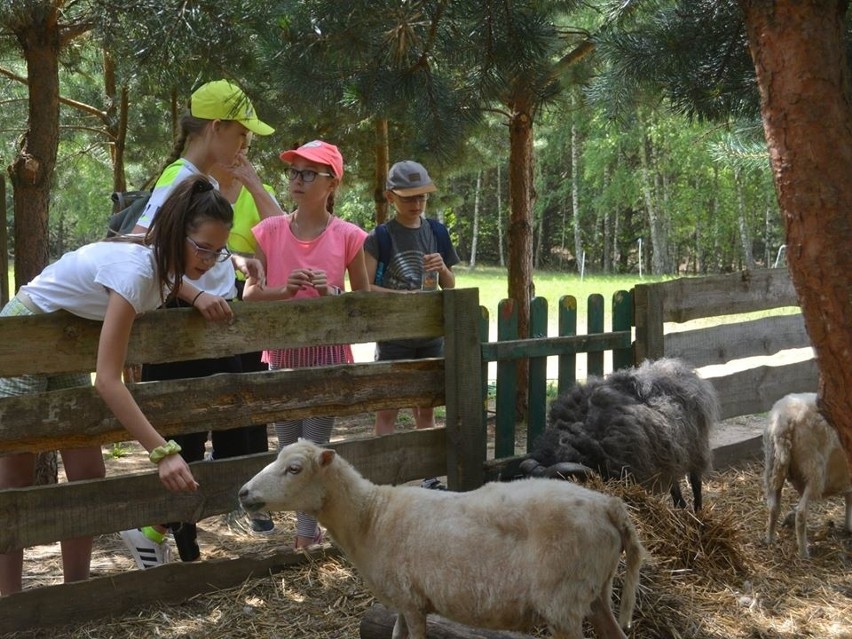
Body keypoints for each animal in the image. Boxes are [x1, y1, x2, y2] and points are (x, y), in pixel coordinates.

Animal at [236, 440, 644, 639]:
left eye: (294, 468)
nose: (243, 493)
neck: (370, 517)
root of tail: (609, 506)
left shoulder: (412, 603)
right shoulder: (402, 603)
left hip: (563, 603)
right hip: (596, 592)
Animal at [524, 358, 716, 512]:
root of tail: (673, 365)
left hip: (696, 449)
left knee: (695, 482)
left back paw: (697, 512)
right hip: (670, 454)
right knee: (674, 483)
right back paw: (680, 508)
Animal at [764, 392, 852, 556]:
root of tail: (785, 419)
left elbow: (849, 498)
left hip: (772, 465)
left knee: (773, 506)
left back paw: (769, 539)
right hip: (814, 471)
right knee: (801, 513)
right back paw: (804, 552)